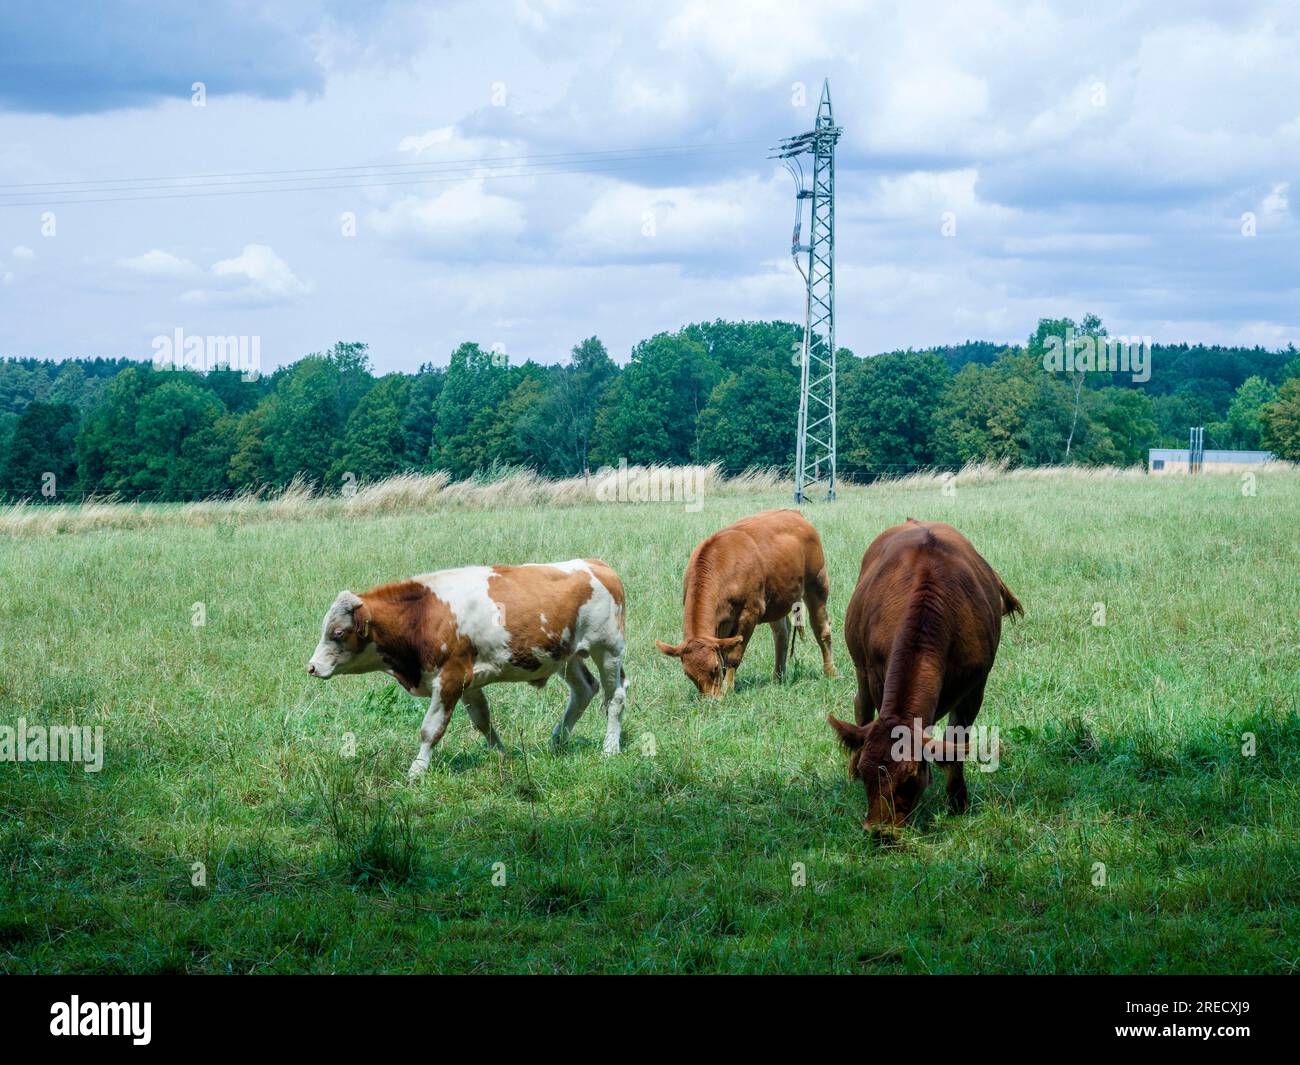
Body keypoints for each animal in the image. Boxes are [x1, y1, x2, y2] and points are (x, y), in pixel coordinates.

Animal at [655, 509, 837, 696]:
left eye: (714, 668)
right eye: (688, 674)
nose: (711, 700)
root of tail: (794, 513)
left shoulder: (750, 612)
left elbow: (734, 655)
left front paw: (728, 689)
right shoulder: (721, 623)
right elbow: (724, 652)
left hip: (817, 582)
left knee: (822, 629)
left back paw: (831, 672)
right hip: (777, 599)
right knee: (782, 634)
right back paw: (778, 678)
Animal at [826, 522, 1019, 832]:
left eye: (909, 779)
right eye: (868, 775)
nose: (879, 831)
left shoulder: (975, 687)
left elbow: (956, 742)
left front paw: (957, 801)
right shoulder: (876, 676)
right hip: (860, 668)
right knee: (861, 706)